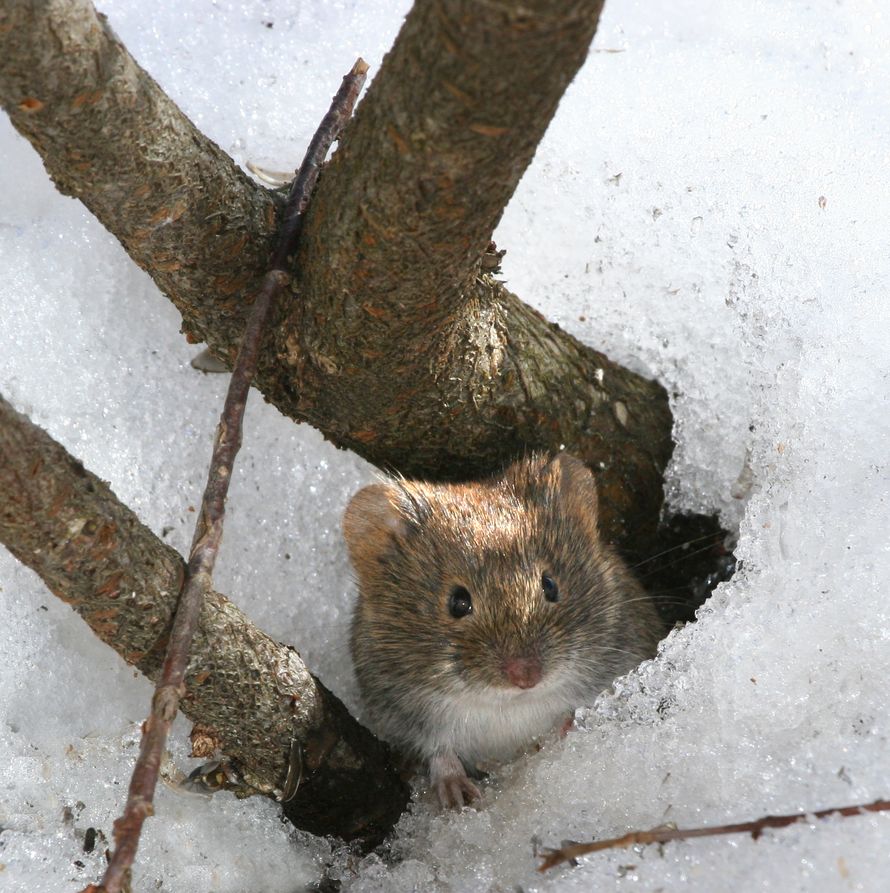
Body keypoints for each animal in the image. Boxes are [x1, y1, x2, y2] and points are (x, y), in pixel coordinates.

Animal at [343, 452, 663, 808]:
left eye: (550, 585)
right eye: (458, 602)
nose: (526, 676)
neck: (508, 705)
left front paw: (563, 731)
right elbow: (440, 753)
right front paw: (457, 795)